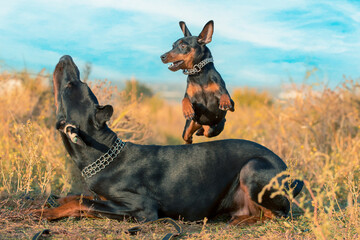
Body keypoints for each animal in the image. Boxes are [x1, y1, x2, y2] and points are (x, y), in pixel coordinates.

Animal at [33, 54, 304, 225]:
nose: (65, 57)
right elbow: (78, 197)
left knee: (277, 214)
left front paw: (44, 212)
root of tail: (290, 174)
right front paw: (57, 199)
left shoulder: (141, 208)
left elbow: (83, 204)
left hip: (252, 168)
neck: (103, 153)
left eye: (71, 85)